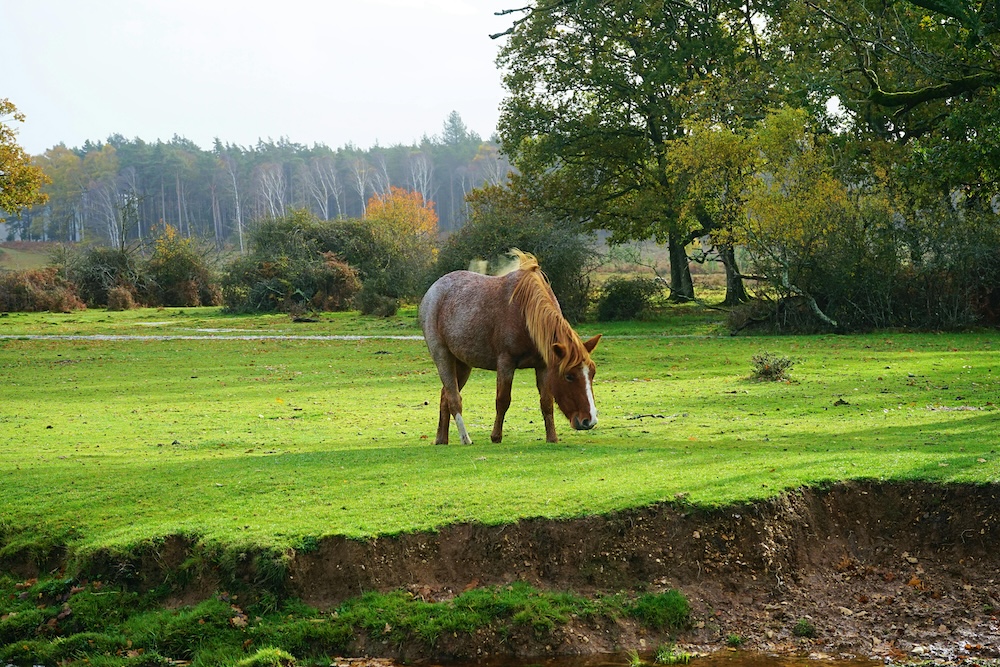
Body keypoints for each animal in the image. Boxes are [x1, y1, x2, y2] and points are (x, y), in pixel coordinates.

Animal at [418, 250, 596, 444]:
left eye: (592, 374)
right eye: (569, 376)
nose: (590, 420)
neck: (525, 312)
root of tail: (433, 290)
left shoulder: (543, 366)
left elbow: (546, 402)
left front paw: (552, 437)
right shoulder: (505, 363)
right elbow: (503, 400)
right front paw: (496, 436)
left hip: (463, 364)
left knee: (445, 396)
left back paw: (441, 439)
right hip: (443, 357)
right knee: (453, 398)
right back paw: (466, 439)